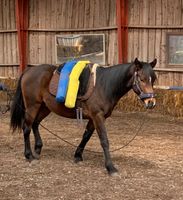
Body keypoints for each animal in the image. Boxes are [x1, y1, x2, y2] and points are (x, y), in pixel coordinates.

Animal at [10, 57, 157, 175]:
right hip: (32, 106)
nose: (151, 102)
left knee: (35, 124)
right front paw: (110, 167)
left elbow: (86, 136)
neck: (104, 85)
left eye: (153, 80)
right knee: (27, 128)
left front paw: (78, 156)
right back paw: (29, 155)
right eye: (142, 79)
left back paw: (38, 149)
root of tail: (28, 71)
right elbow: (104, 140)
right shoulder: (98, 116)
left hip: (44, 107)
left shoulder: (93, 118)